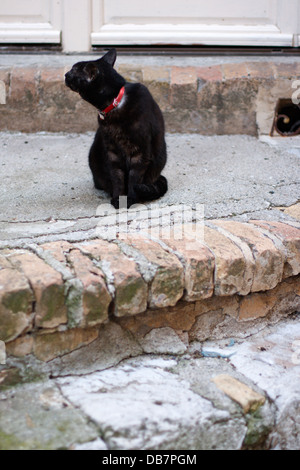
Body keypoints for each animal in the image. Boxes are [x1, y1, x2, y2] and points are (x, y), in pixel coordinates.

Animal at [65, 49, 168, 207]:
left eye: (73, 70)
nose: (65, 74)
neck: (114, 104)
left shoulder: (141, 152)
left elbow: (133, 179)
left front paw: (130, 199)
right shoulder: (112, 152)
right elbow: (117, 177)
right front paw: (118, 198)